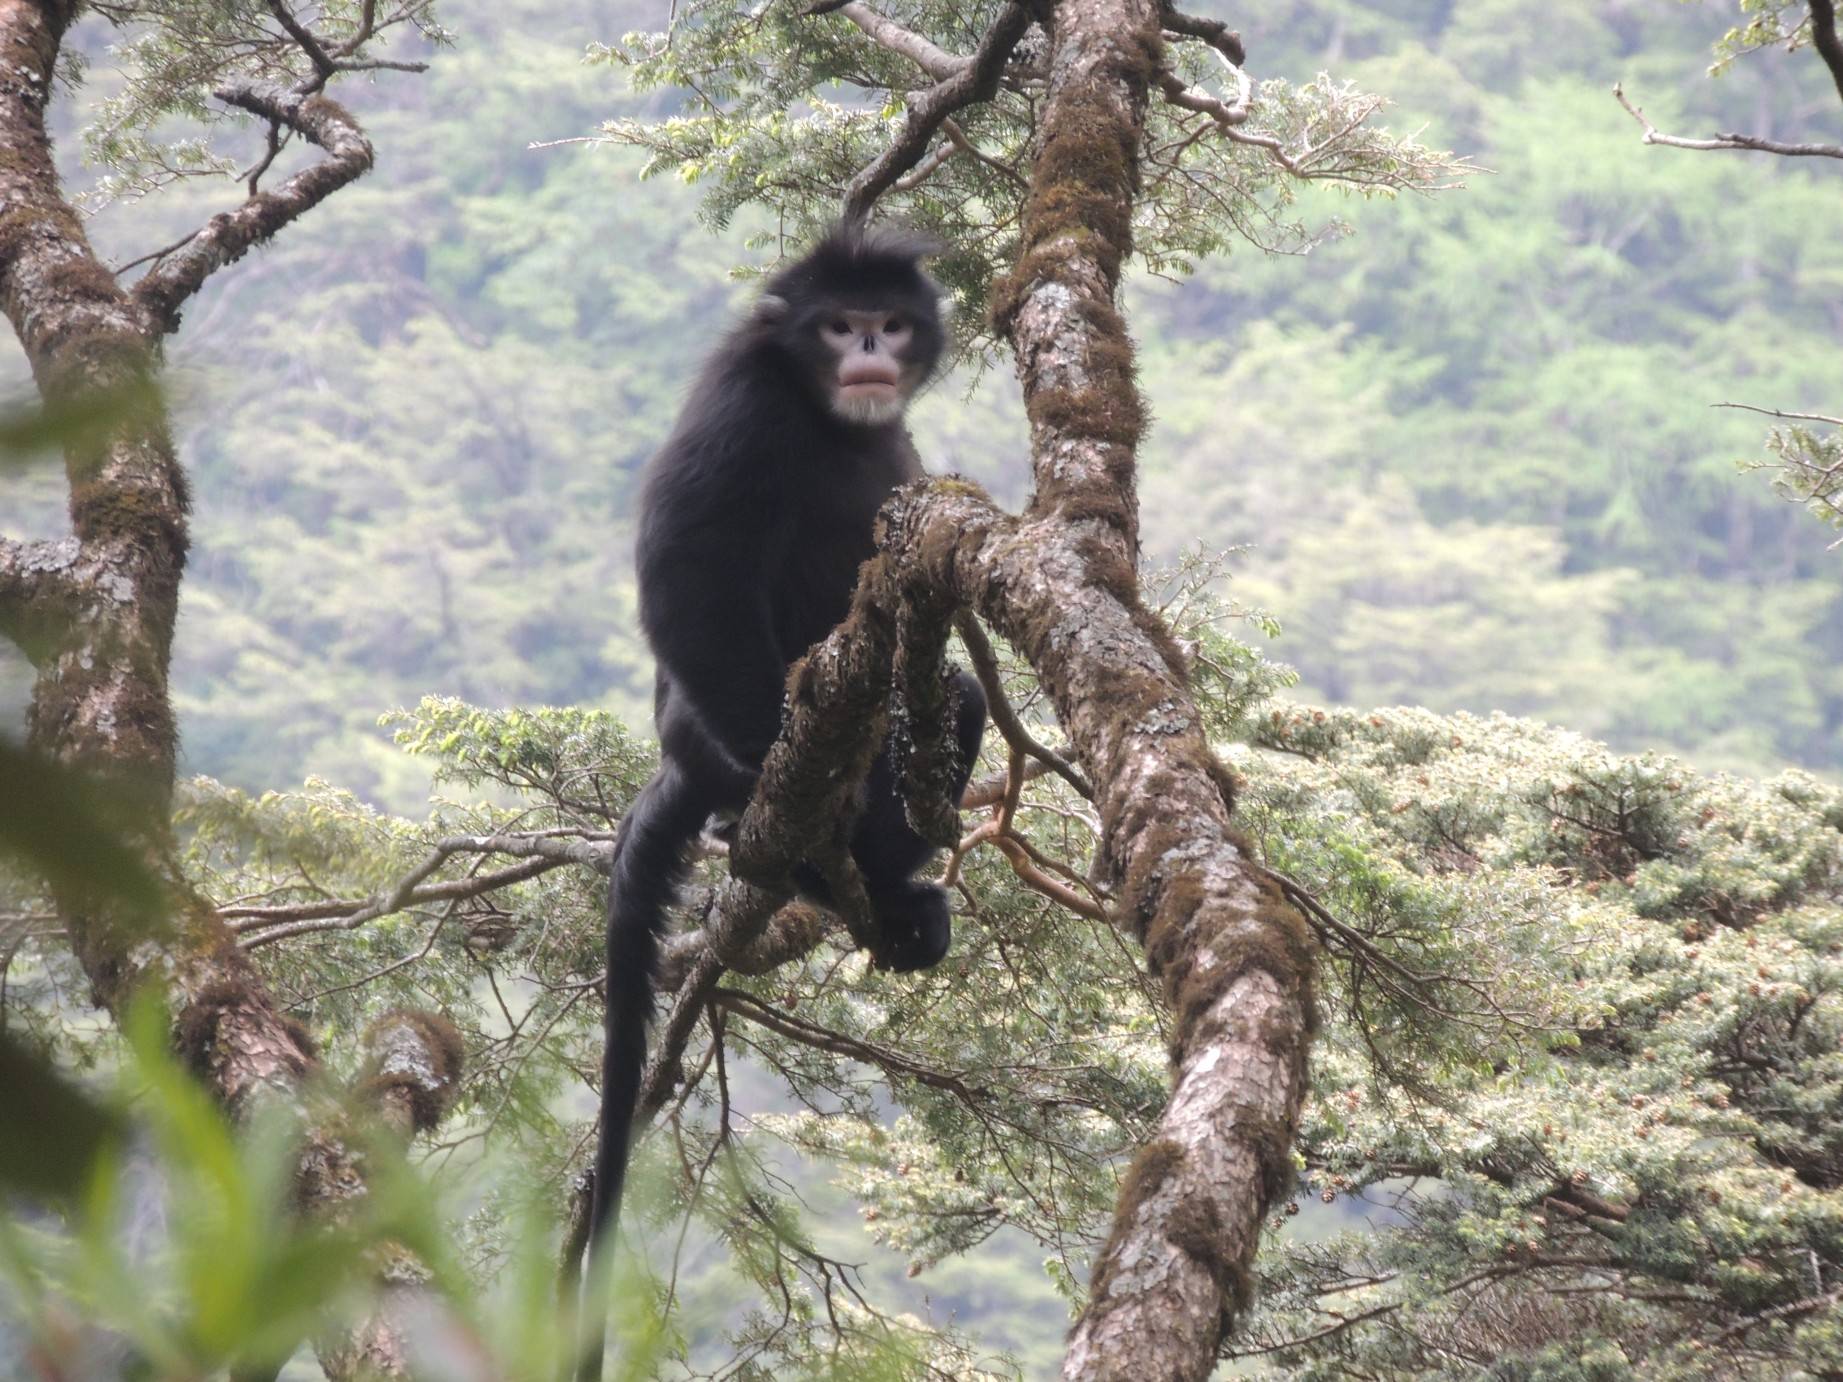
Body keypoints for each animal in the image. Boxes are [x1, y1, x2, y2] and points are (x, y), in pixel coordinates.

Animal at [578, 227, 987, 1378]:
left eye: (888, 321)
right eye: (837, 324)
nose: (870, 352)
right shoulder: (742, 400)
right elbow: (688, 565)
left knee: (952, 696)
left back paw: (890, 894)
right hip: (707, 736)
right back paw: (800, 848)